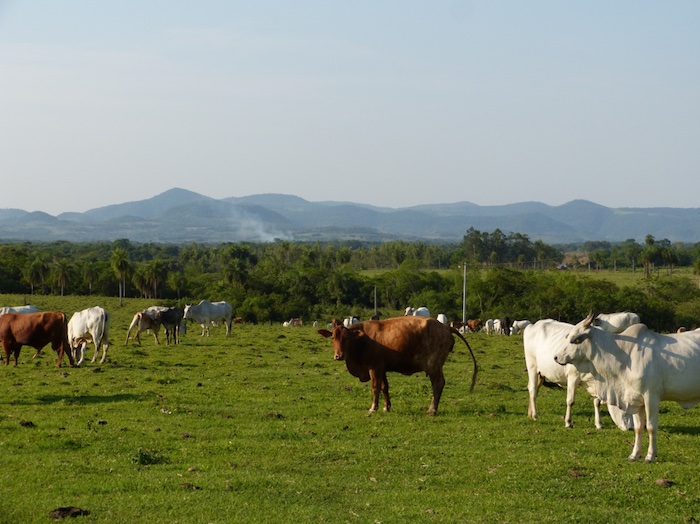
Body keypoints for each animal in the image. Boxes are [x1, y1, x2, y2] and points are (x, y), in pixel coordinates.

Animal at [318, 316, 478, 414]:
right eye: (333, 337)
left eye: (347, 338)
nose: (339, 356)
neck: (363, 339)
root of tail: (445, 327)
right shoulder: (382, 368)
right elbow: (385, 387)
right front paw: (386, 407)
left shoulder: (374, 368)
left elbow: (375, 387)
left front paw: (373, 408)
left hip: (434, 366)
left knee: (438, 384)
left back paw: (432, 409)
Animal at [556, 312, 700, 462]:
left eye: (575, 339)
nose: (556, 357)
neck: (626, 355)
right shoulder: (636, 400)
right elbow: (638, 428)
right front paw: (634, 454)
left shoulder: (651, 397)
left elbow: (650, 427)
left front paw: (650, 456)